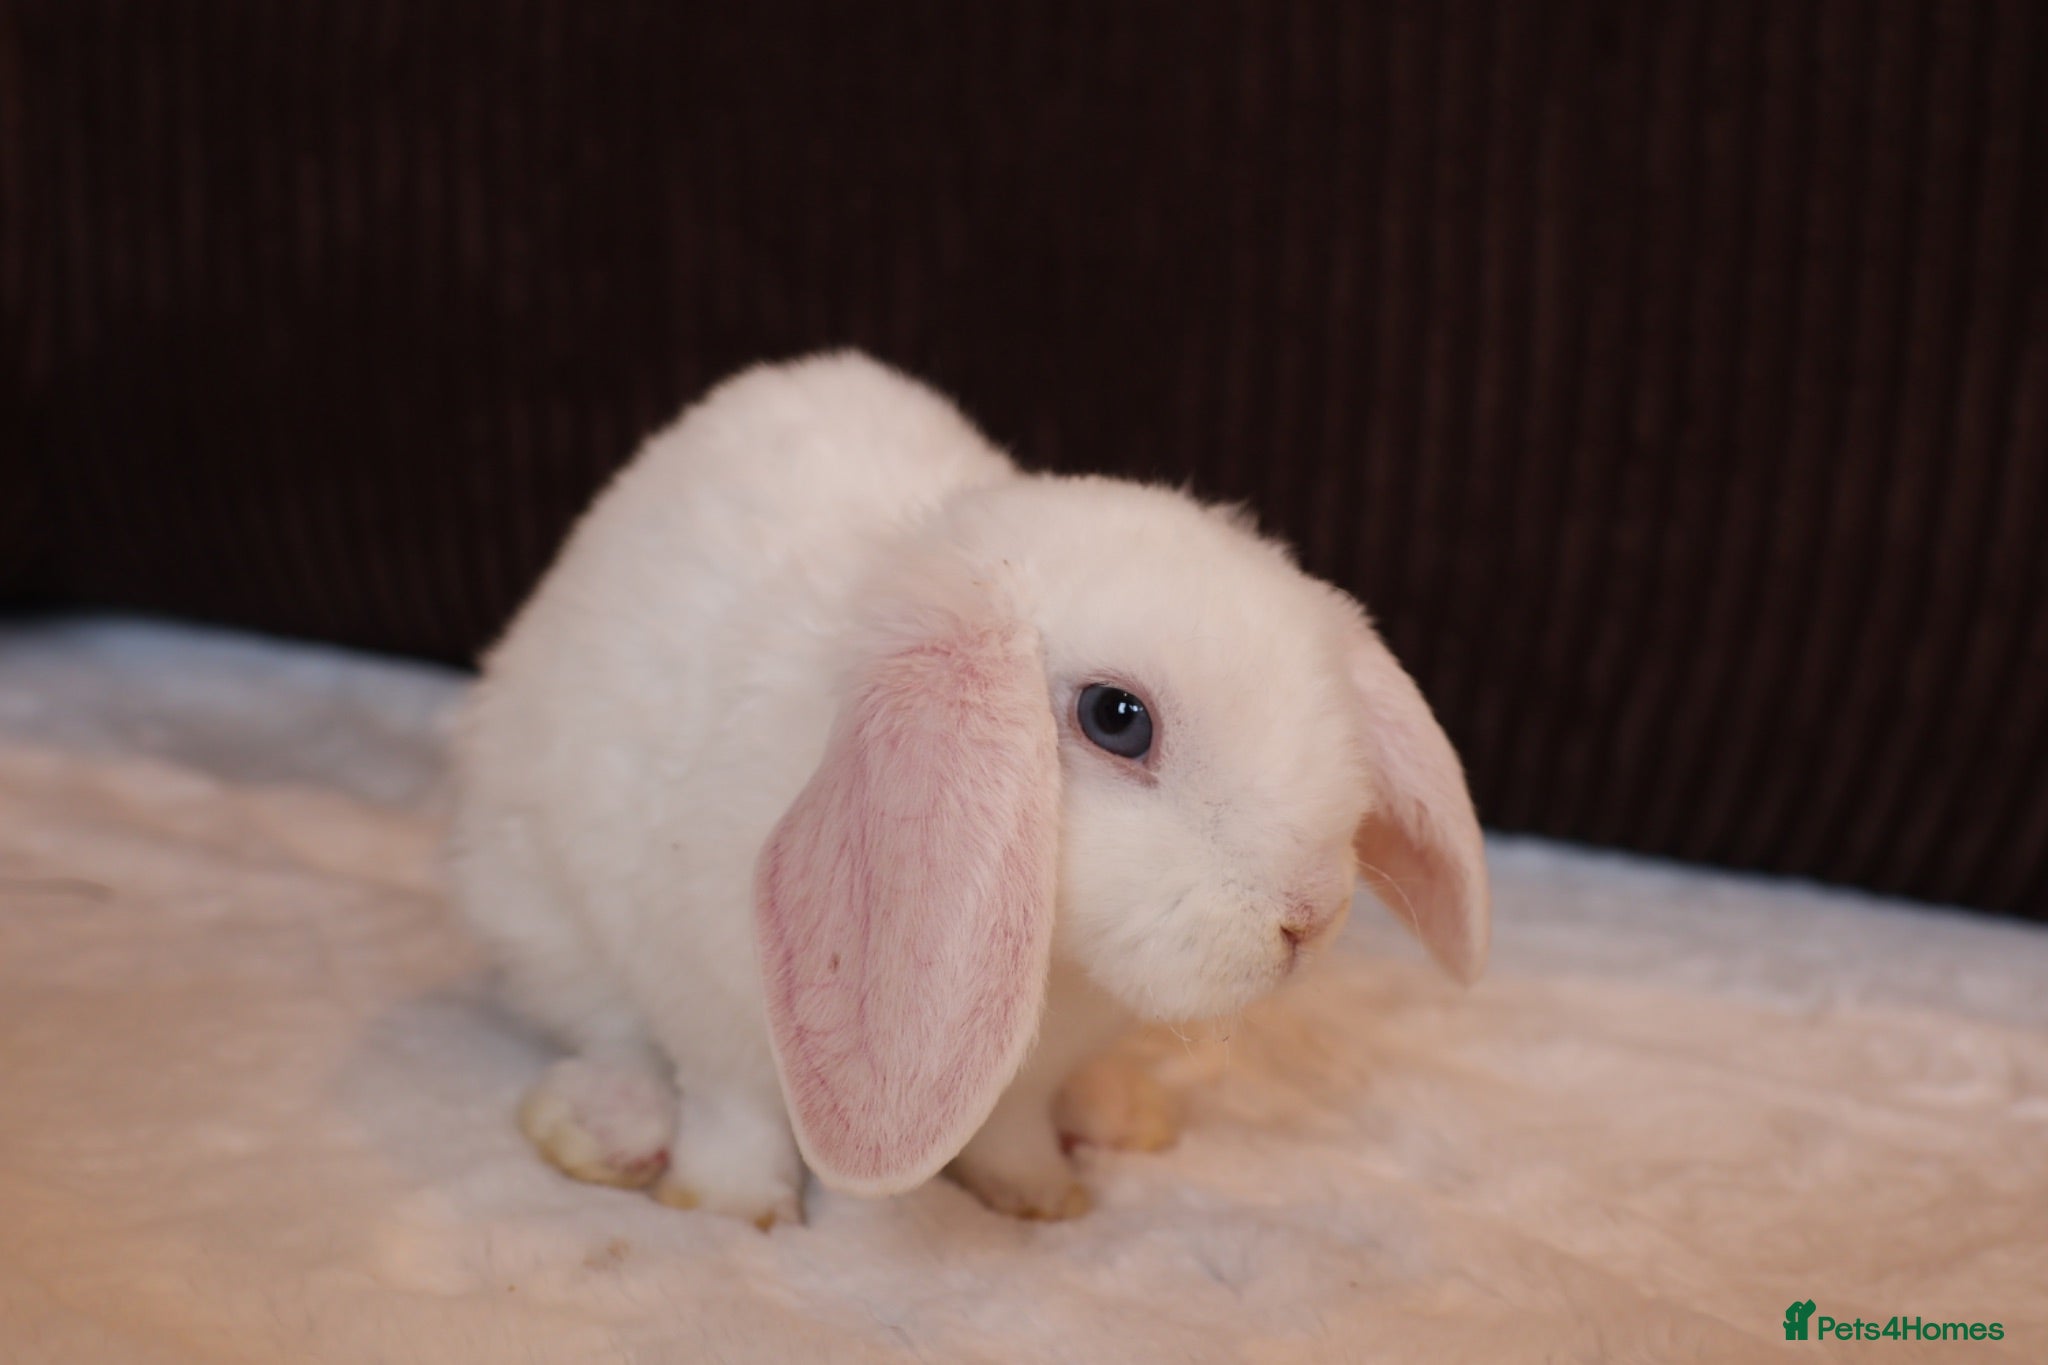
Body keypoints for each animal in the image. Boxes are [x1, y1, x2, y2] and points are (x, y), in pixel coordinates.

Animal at [448, 351, 1490, 1228]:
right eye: (1117, 717)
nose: (1308, 918)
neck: (1058, 964)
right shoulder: (708, 1006)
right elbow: (732, 1113)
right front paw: (735, 1209)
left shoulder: (1024, 1078)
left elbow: (1016, 1127)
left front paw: (1040, 1198)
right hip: (536, 912)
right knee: (609, 1032)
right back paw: (603, 1125)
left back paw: (1116, 1108)